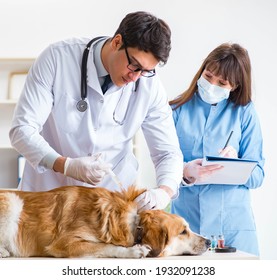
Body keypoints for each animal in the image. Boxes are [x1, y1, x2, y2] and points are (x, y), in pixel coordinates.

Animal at [0, 186, 208, 258]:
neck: (132, 223)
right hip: (12, 201)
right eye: (183, 231)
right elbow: (105, 246)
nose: (209, 241)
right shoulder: (64, 244)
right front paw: (133, 251)